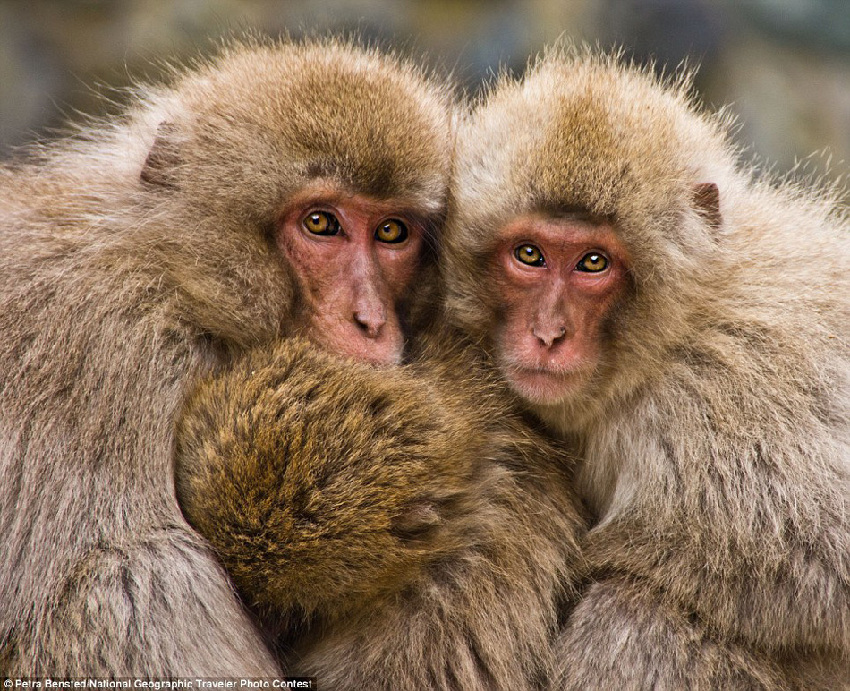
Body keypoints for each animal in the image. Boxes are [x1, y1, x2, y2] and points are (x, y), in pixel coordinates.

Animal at [444, 47, 848, 688]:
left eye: (593, 263)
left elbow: (827, 562)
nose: (548, 334)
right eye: (530, 255)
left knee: (631, 612)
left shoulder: (718, 398)